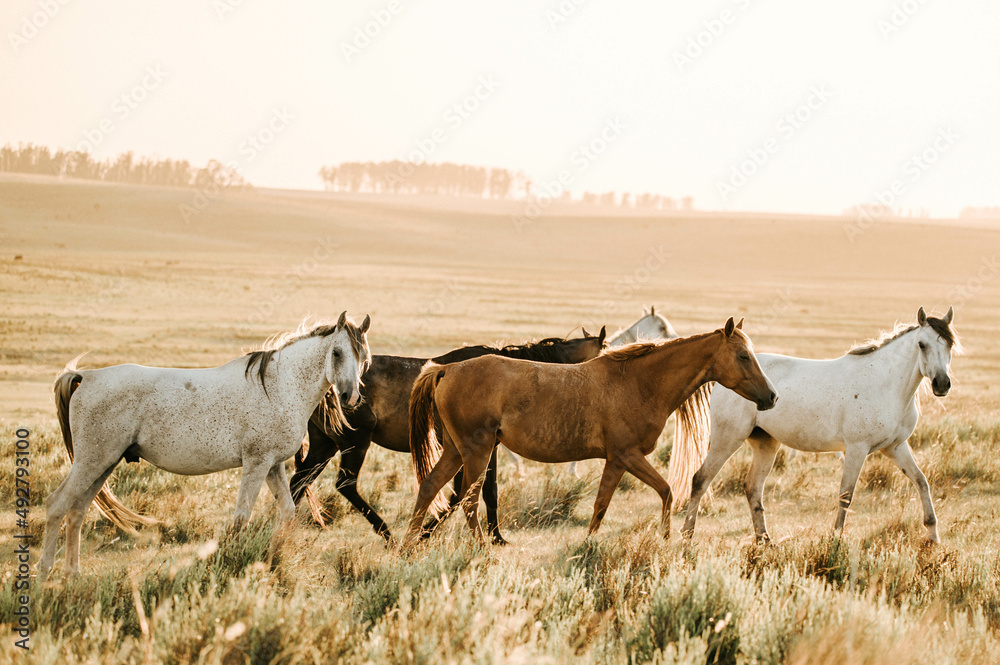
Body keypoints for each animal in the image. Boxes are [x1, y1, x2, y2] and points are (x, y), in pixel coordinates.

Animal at [39, 312, 371, 580]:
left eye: (364, 357)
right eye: (337, 352)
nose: (351, 397)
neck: (279, 387)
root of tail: (86, 377)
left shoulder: (272, 465)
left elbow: (287, 512)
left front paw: (274, 561)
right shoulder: (256, 464)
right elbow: (241, 518)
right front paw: (234, 564)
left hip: (104, 464)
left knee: (77, 511)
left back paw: (73, 575)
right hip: (91, 461)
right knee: (57, 504)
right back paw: (45, 574)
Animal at [288, 327, 607, 544]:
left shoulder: (486, 447)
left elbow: (487, 491)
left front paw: (495, 536)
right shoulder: (476, 447)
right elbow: (463, 493)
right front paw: (427, 532)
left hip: (325, 445)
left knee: (298, 482)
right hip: (356, 442)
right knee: (345, 484)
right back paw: (387, 533)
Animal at [401, 317, 777, 549]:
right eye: (743, 356)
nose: (771, 397)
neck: (638, 382)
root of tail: (446, 370)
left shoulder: (617, 460)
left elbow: (605, 503)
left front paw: (593, 542)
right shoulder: (626, 456)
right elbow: (660, 493)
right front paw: (664, 539)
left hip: (456, 451)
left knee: (431, 488)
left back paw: (407, 545)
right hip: (477, 452)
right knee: (467, 500)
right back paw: (480, 547)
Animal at [679, 307, 959, 544]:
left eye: (950, 344)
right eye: (922, 344)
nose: (942, 384)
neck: (886, 384)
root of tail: (720, 379)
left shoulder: (896, 447)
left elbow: (921, 481)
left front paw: (933, 535)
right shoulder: (856, 449)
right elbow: (846, 495)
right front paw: (835, 540)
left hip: (765, 444)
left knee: (753, 488)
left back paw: (764, 541)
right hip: (727, 439)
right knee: (701, 479)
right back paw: (687, 536)